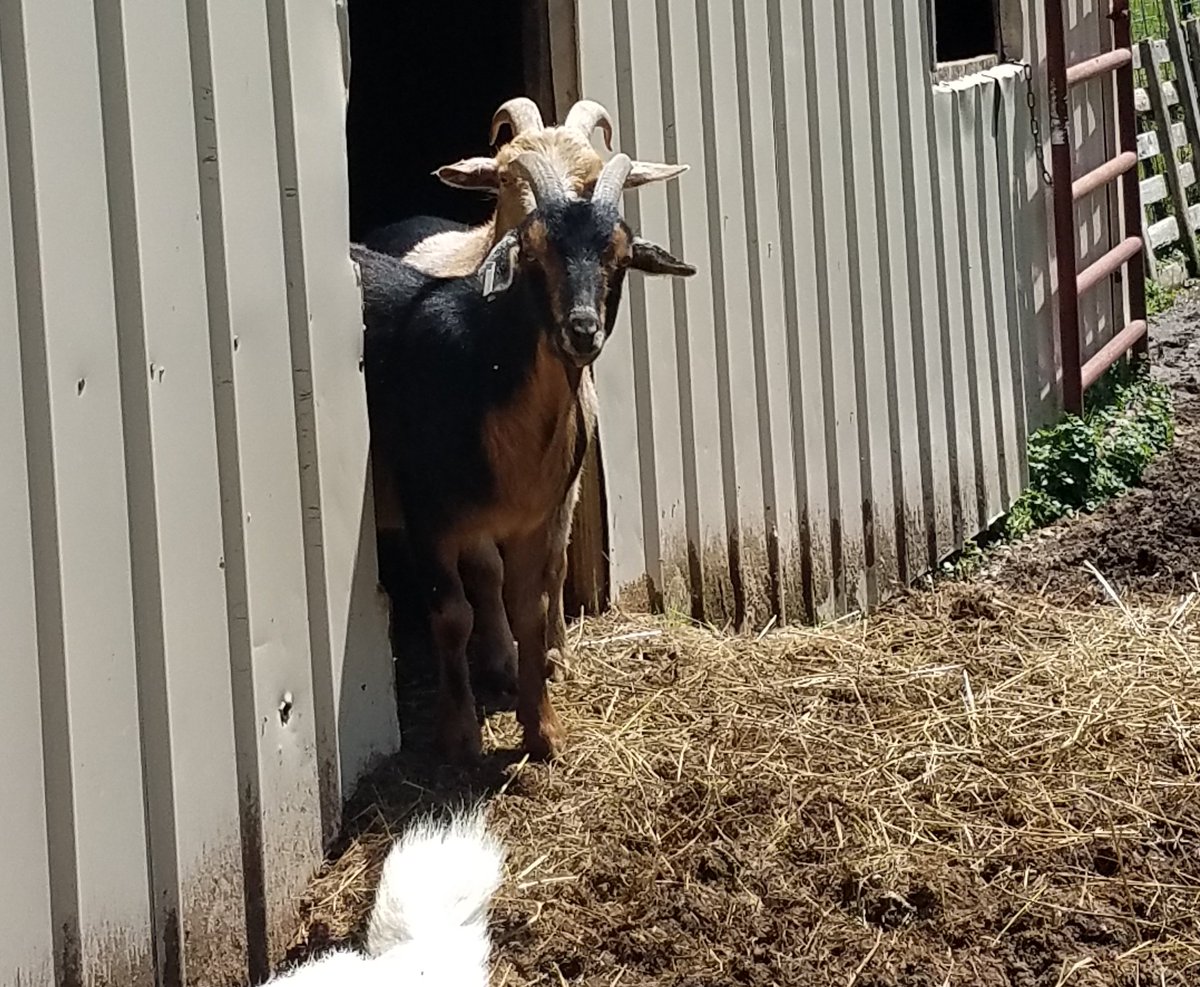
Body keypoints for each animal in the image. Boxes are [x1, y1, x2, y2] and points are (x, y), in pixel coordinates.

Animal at [357, 151, 695, 761]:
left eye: (620, 256)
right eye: (533, 253)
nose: (581, 330)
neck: (485, 371)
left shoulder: (536, 518)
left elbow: (532, 610)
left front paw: (545, 731)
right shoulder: (429, 516)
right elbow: (453, 615)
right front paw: (460, 736)